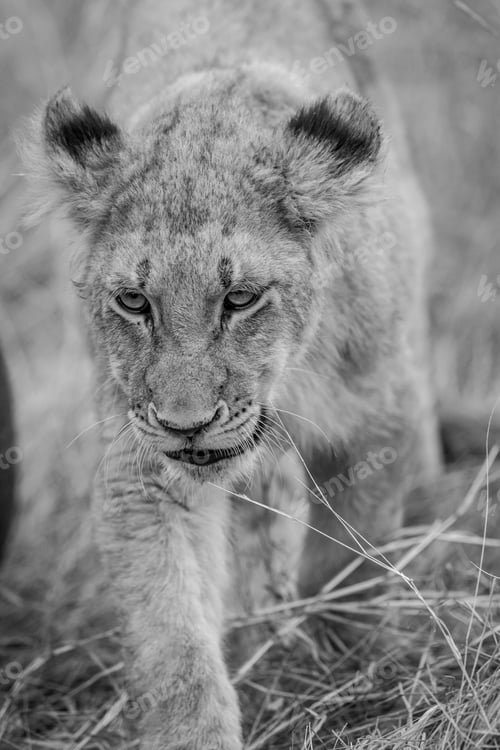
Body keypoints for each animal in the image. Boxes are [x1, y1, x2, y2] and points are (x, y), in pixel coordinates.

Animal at [22, 0, 443, 747]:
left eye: (240, 299)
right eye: (134, 302)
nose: (186, 425)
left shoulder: (373, 416)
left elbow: (350, 554)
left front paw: (345, 667)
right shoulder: (140, 464)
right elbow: (173, 635)